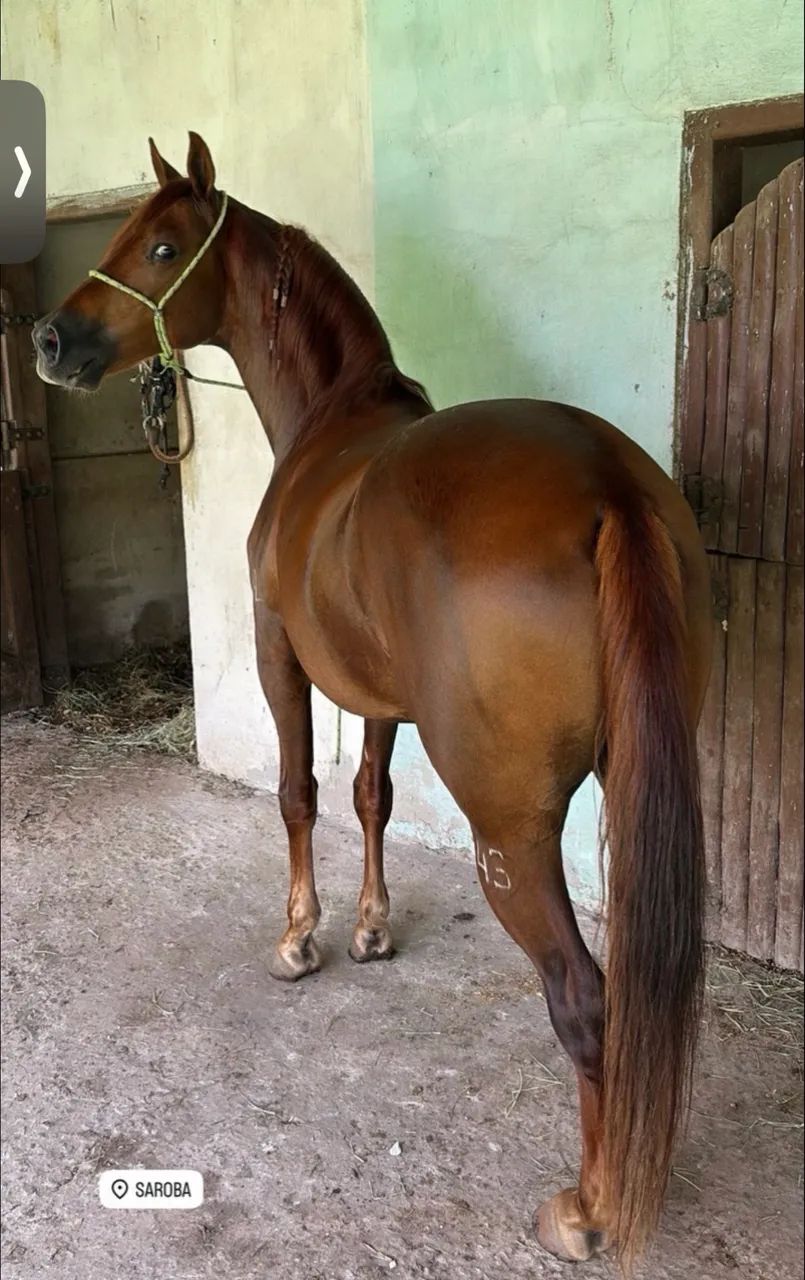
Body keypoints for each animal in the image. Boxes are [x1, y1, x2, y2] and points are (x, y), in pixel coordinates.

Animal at [34, 132, 713, 1270]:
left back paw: (588, 1205)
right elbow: (370, 797)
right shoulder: (378, 692)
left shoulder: (281, 655)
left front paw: (300, 939)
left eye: (161, 244)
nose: (50, 337)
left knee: (583, 996)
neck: (331, 427)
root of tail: (608, 490)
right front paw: (371, 929)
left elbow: (299, 793)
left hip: (510, 833)